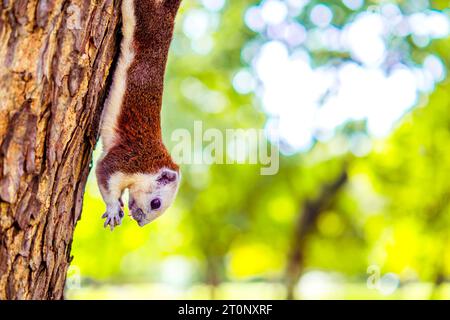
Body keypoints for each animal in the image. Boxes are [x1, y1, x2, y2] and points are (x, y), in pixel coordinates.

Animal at [95, 0, 181, 230]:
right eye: (156, 203)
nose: (140, 222)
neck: (150, 165)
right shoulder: (128, 160)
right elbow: (104, 174)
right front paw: (113, 209)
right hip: (145, 14)